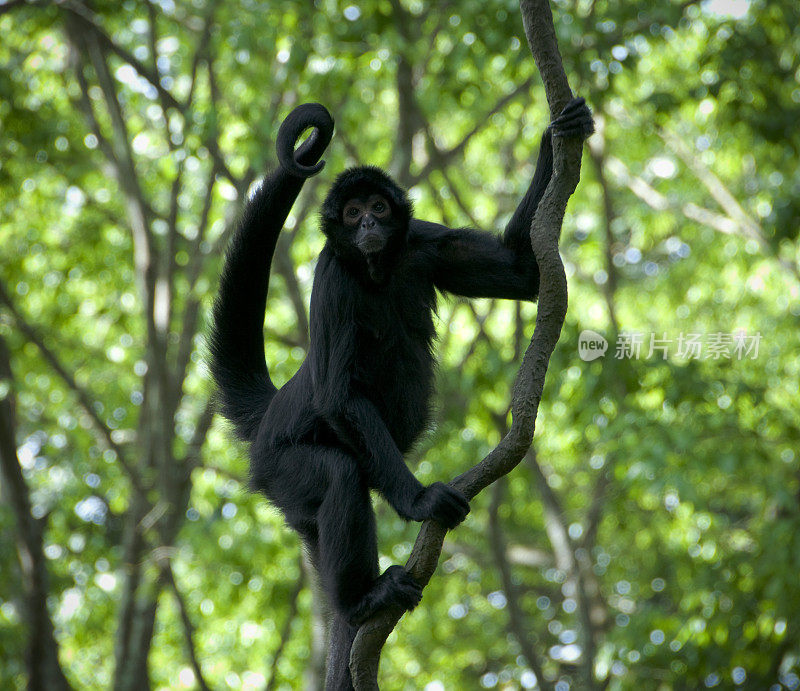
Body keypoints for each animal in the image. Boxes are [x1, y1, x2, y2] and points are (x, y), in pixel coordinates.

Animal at [209, 100, 592, 688]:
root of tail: (273, 411)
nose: (368, 222)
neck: (377, 268)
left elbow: (523, 272)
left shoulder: (422, 243)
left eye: (379, 207)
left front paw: (561, 131)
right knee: (340, 473)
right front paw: (420, 501)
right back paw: (362, 602)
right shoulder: (333, 276)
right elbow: (339, 399)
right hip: (278, 469)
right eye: (351, 214)